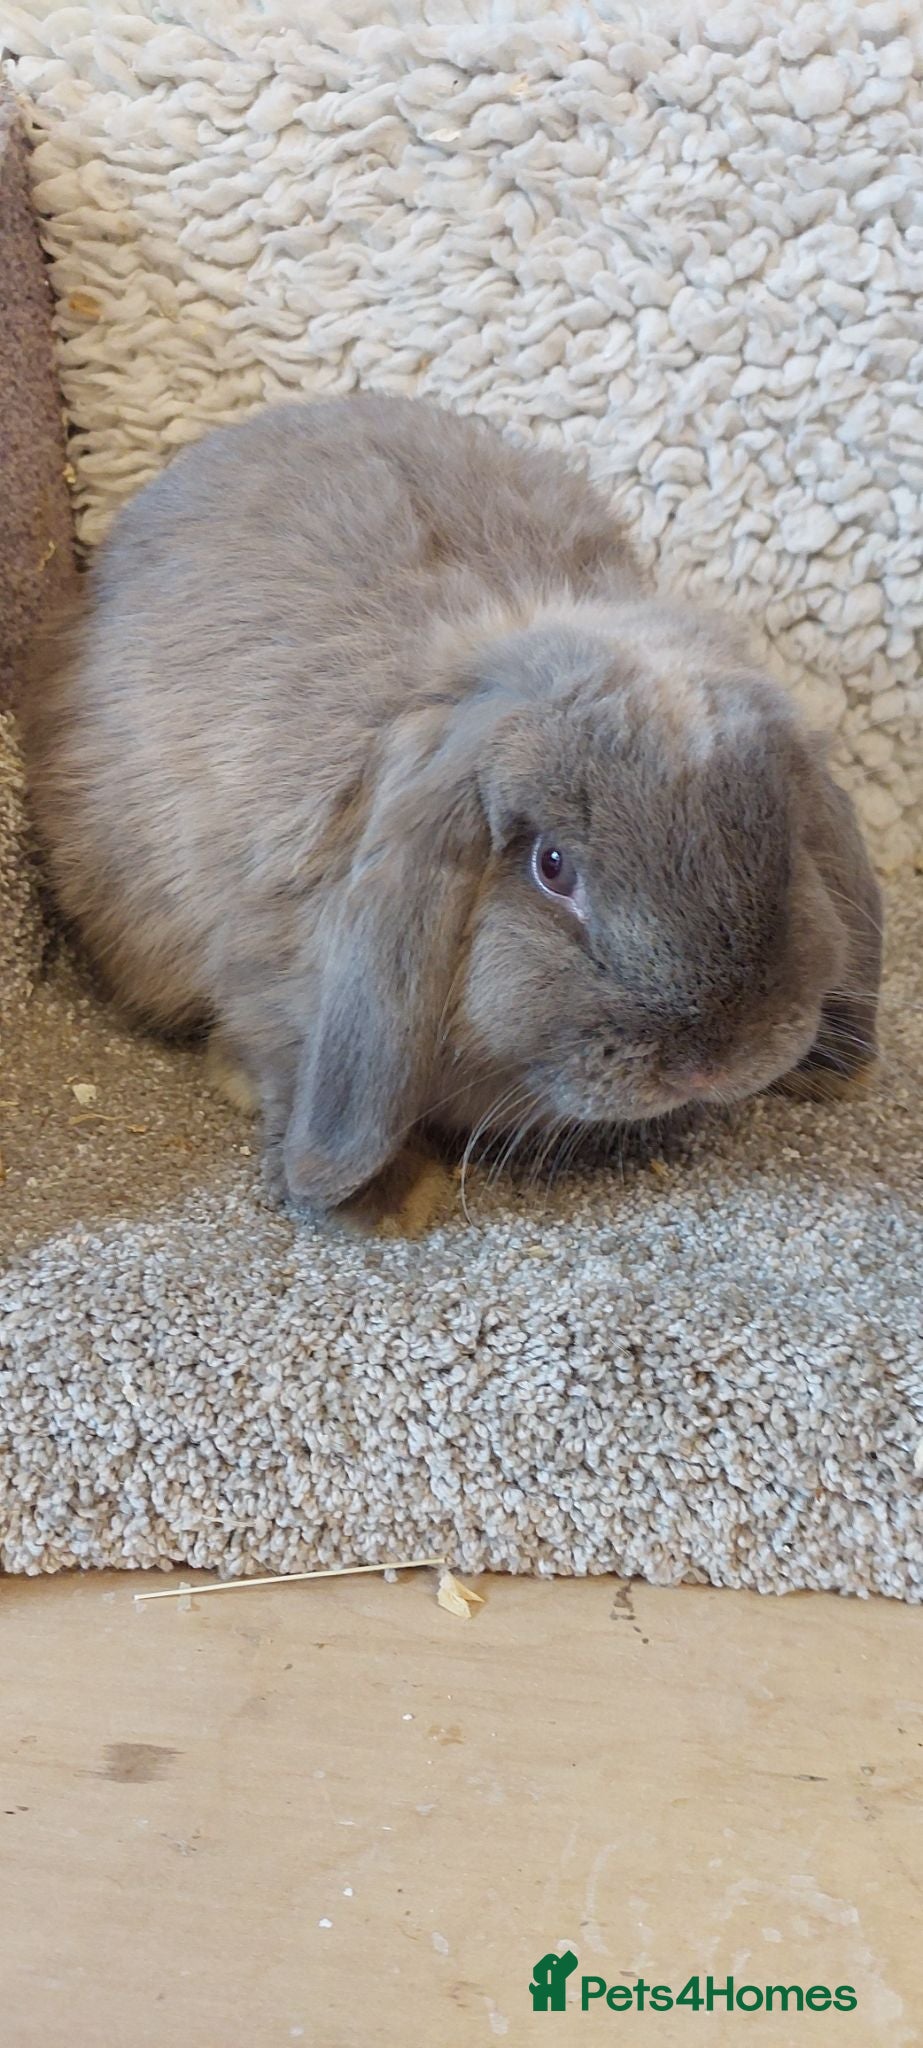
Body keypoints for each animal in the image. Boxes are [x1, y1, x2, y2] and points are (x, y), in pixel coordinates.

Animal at [23, 393, 882, 1221]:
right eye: (552, 868)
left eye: (783, 848)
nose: (713, 1062)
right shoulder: (265, 975)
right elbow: (282, 1062)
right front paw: (388, 1202)